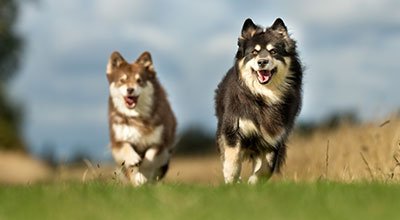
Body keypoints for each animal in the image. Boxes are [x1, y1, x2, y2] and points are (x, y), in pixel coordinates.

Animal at [106, 50, 177, 185]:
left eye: (139, 80)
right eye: (122, 80)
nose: (130, 89)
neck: (137, 116)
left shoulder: (161, 141)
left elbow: (150, 156)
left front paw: (143, 173)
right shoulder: (118, 139)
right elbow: (126, 149)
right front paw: (134, 162)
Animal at [216, 17, 304, 184]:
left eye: (273, 51)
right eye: (254, 52)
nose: (262, 62)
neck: (264, 95)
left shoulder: (274, 137)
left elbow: (267, 166)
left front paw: (253, 182)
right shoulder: (233, 130)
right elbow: (232, 161)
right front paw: (231, 180)